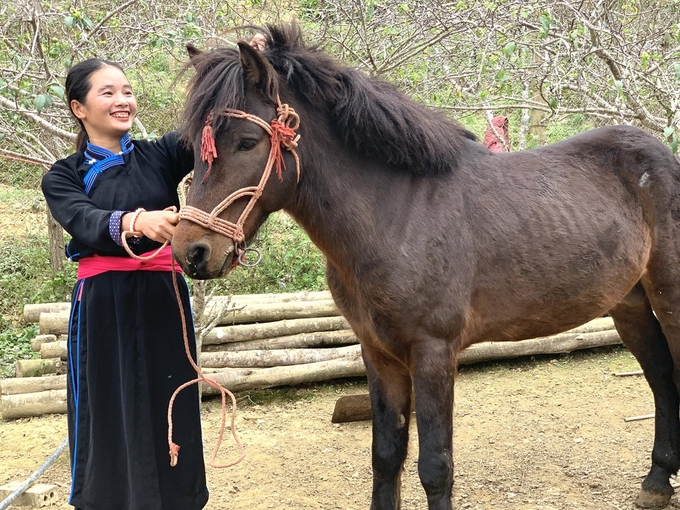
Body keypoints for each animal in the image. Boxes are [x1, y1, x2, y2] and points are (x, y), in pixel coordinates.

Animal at [171, 21, 680, 508]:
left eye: (247, 142)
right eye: (194, 145)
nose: (190, 252)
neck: (397, 213)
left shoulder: (433, 352)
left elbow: (435, 466)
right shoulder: (378, 353)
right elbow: (385, 457)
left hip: (668, 298)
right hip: (629, 304)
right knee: (660, 375)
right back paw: (656, 482)